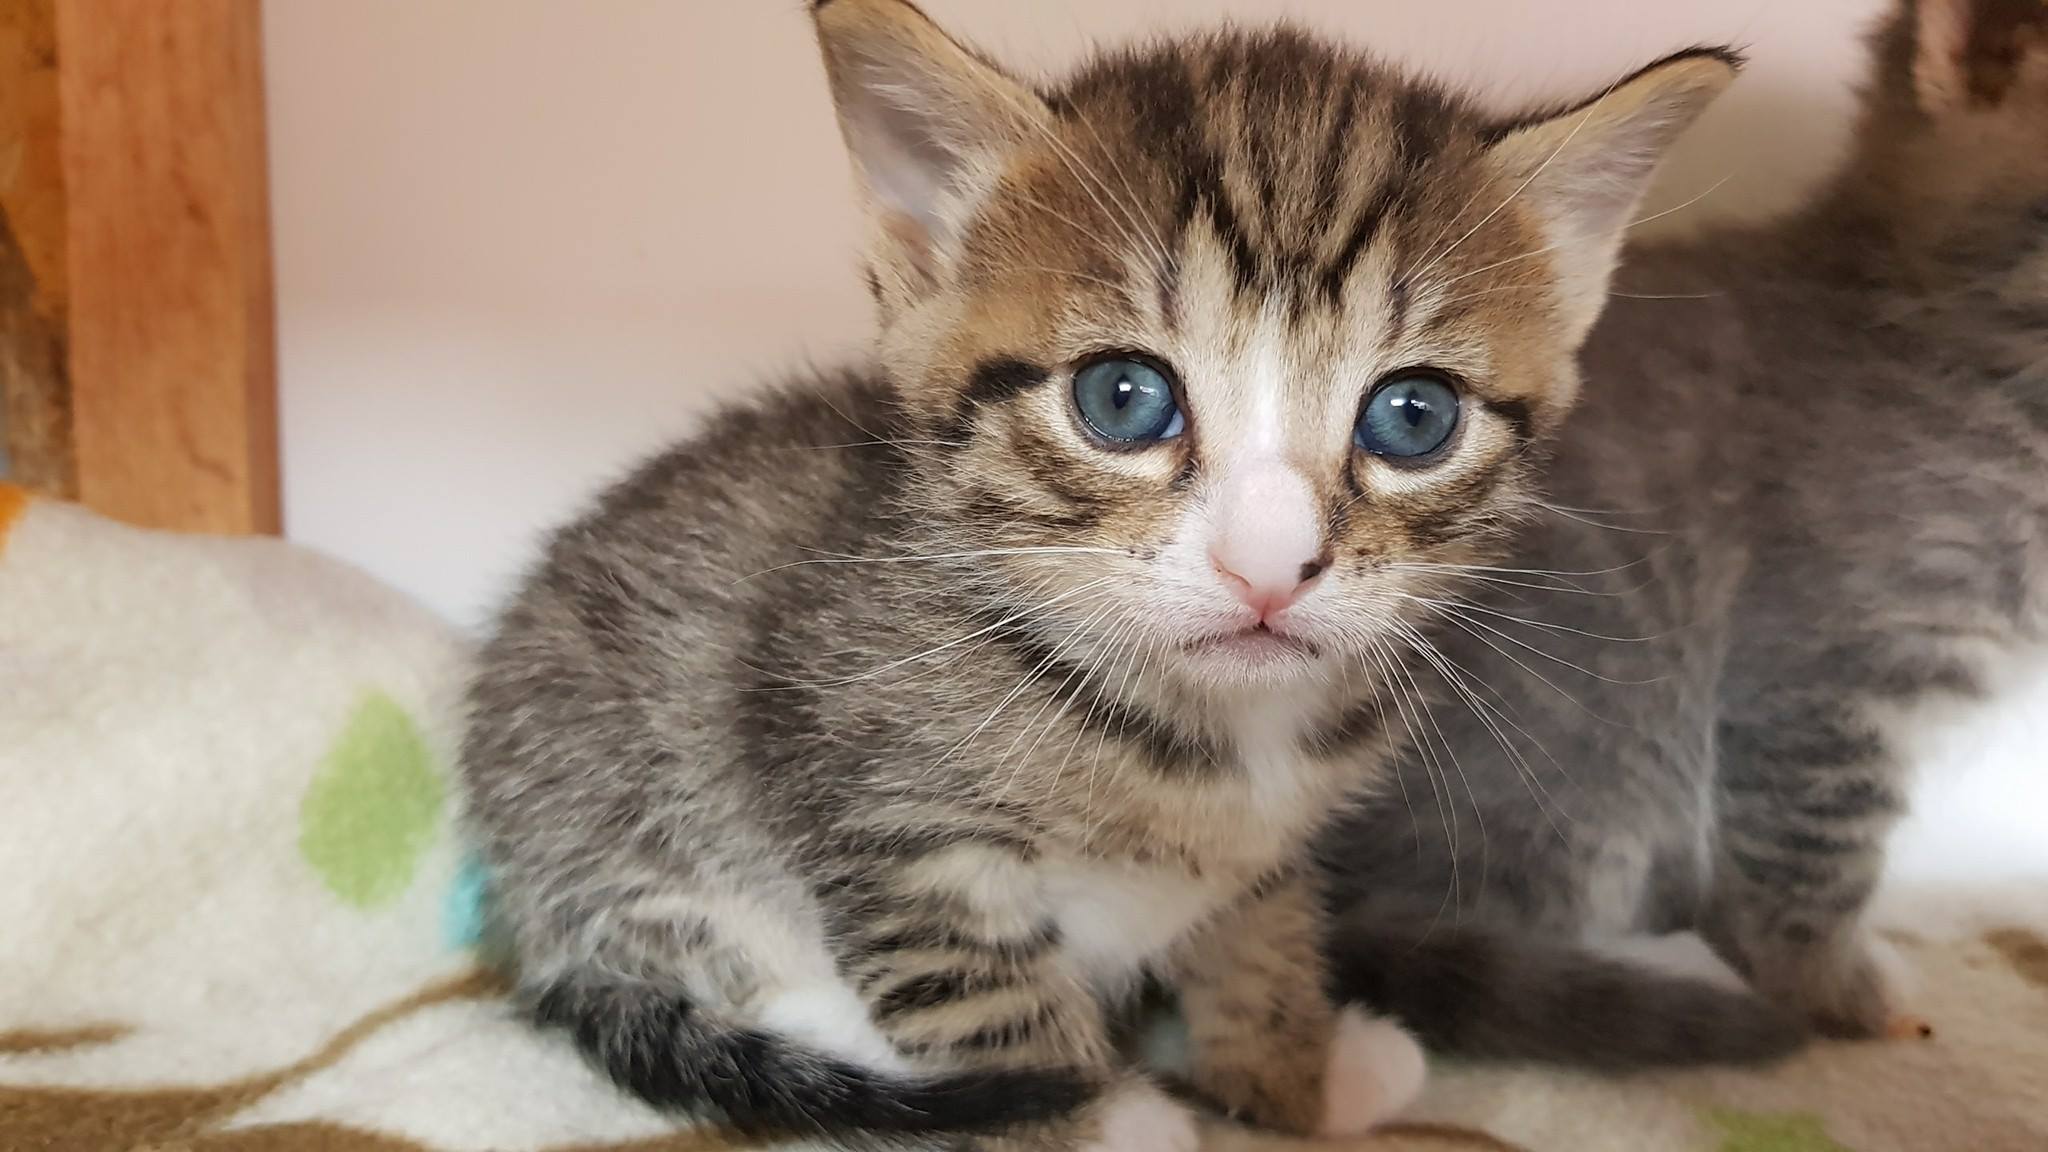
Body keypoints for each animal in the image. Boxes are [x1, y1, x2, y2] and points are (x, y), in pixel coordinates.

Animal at [458, 0, 1733, 1145]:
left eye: (1412, 418)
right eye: (1121, 400)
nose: (1269, 563)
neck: (1213, 749)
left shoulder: (1268, 847)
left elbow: (1260, 935)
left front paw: (1298, 1075)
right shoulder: (895, 824)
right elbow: (987, 1009)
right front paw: (1102, 1115)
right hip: (612, 780)